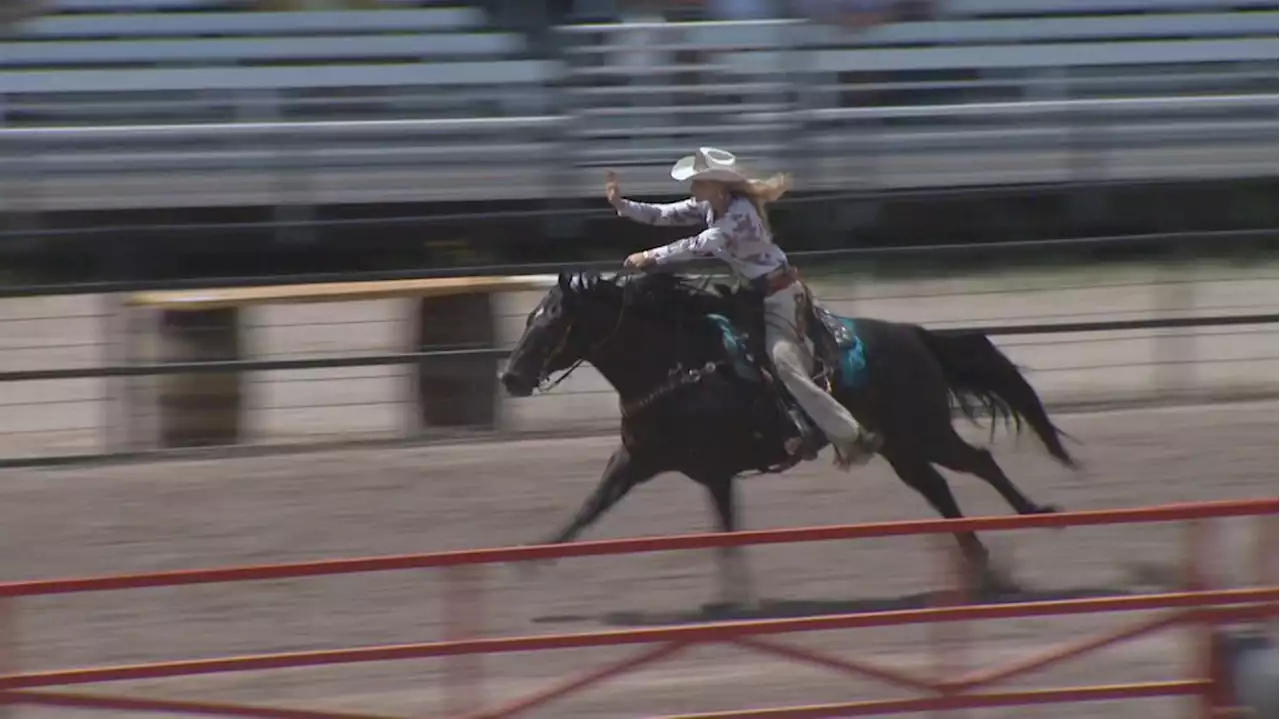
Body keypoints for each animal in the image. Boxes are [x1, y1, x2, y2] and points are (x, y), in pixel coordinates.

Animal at [499, 268, 1080, 603]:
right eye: (528, 318)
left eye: (550, 323)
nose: (510, 377)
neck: (679, 364)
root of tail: (912, 335)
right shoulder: (637, 460)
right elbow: (589, 509)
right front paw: (531, 556)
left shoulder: (714, 471)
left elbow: (727, 533)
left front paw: (739, 602)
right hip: (901, 446)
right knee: (938, 488)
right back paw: (979, 564)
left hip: (925, 431)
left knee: (979, 461)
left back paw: (1036, 516)